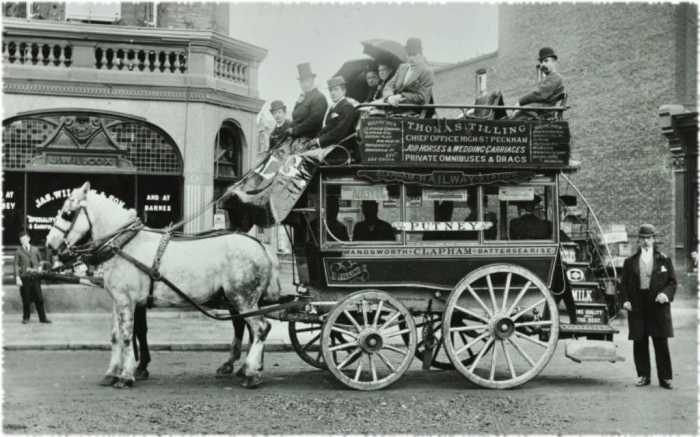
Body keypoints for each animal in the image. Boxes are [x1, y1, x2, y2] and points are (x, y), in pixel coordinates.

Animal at [44, 182, 282, 386]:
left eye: (67, 213)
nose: (49, 244)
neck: (125, 244)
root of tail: (261, 246)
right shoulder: (118, 300)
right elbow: (116, 336)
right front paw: (112, 373)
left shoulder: (126, 300)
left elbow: (127, 336)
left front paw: (126, 375)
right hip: (239, 299)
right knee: (250, 328)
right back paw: (247, 367)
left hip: (242, 297)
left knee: (260, 328)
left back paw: (251, 373)